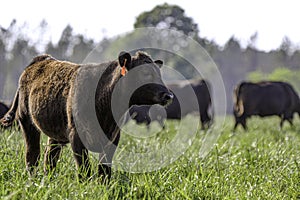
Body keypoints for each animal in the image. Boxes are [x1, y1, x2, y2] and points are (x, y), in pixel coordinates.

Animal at [0, 51, 173, 181]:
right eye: (145, 73)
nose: (168, 95)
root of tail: (43, 59)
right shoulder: (76, 137)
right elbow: (84, 170)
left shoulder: (113, 138)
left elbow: (104, 171)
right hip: (27, 122)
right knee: (32, 155)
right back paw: (34, 180)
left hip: (55, 134)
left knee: (50, 157)